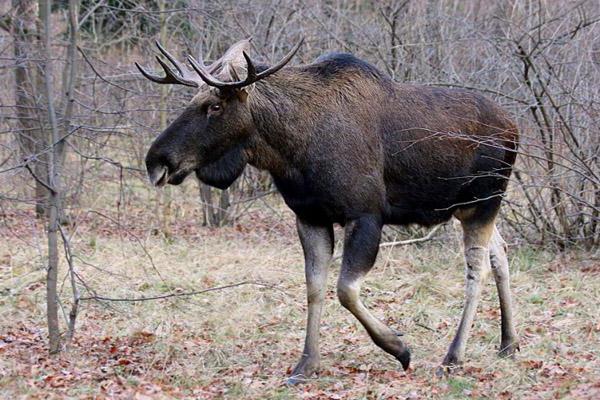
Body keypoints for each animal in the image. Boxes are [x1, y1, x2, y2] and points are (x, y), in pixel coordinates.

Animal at [137, 39, 520, 382]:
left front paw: (398, 347)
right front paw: (306, 364)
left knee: (476, 269)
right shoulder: (310, 216)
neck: (291, 151)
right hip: (467, 208)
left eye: (214, 106)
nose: (156, 161)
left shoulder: (365, 215)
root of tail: (515, 129)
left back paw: (453, 357)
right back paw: (508, 342)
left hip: (483, 202)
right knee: (500, 253)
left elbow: (345, 289)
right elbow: (315, 287)